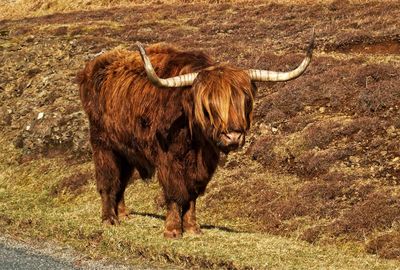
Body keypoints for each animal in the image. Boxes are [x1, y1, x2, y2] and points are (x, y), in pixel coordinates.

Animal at [78, 31, 314, 237]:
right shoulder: (168, 159)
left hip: (126, 149)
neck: (195, 140)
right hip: (103, 144)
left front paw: (192, 228)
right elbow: (175, 193)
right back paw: (109, 219)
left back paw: (124, 215)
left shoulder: (204, 164)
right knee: (108, 180)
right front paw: (173, 230)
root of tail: (91, 68)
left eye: (245, 101)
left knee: (121, 181)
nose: (233, 137)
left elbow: (192, 195)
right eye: (208, 106)